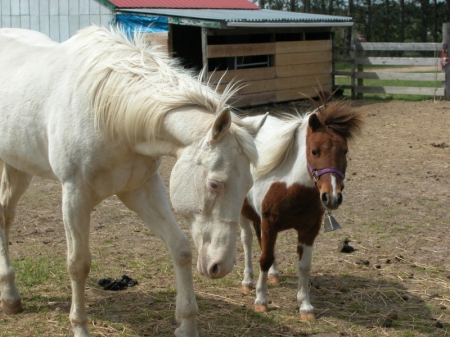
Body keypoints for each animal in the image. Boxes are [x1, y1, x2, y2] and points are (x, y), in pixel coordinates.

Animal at [0, 26, 264, 336]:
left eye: (248, 186)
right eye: (214, 184)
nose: (221, 265)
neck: (109, 113)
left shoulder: (141, 188)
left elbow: (180, 248)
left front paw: (187, 325)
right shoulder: (75, 194)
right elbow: (78, 264)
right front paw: (80, 327)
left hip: (19, 167)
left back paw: (11, 298)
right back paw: (10, 296)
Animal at [239, 99, 362, 318]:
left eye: (345, 151)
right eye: (314, 151)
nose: (332, 197)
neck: (290, 186)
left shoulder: (308, 229)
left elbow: (304, 265)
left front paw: (305, 305)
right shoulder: (269, 223)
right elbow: (264, 259)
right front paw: (261, 300)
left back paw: (274, 275)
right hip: (242, 213)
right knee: (248, 241)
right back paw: (247, 281)